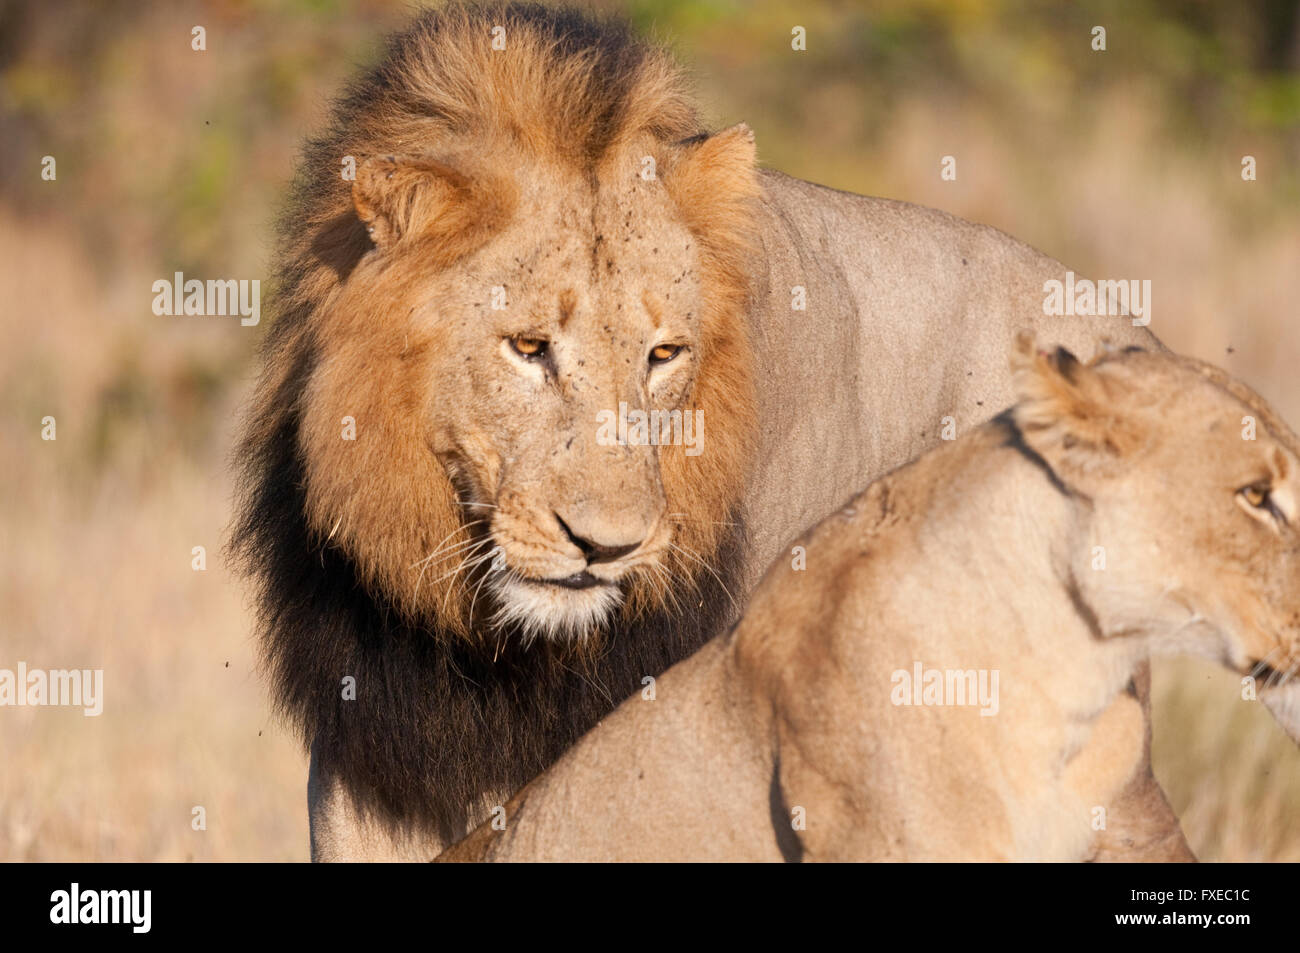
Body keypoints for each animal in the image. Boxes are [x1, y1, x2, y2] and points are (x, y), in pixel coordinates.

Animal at [232, 3, 1200, 860]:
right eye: (529, 347)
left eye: (663, 354)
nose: (606, 547)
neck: (497, 649)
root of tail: (1133, 330)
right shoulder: (368, 748)